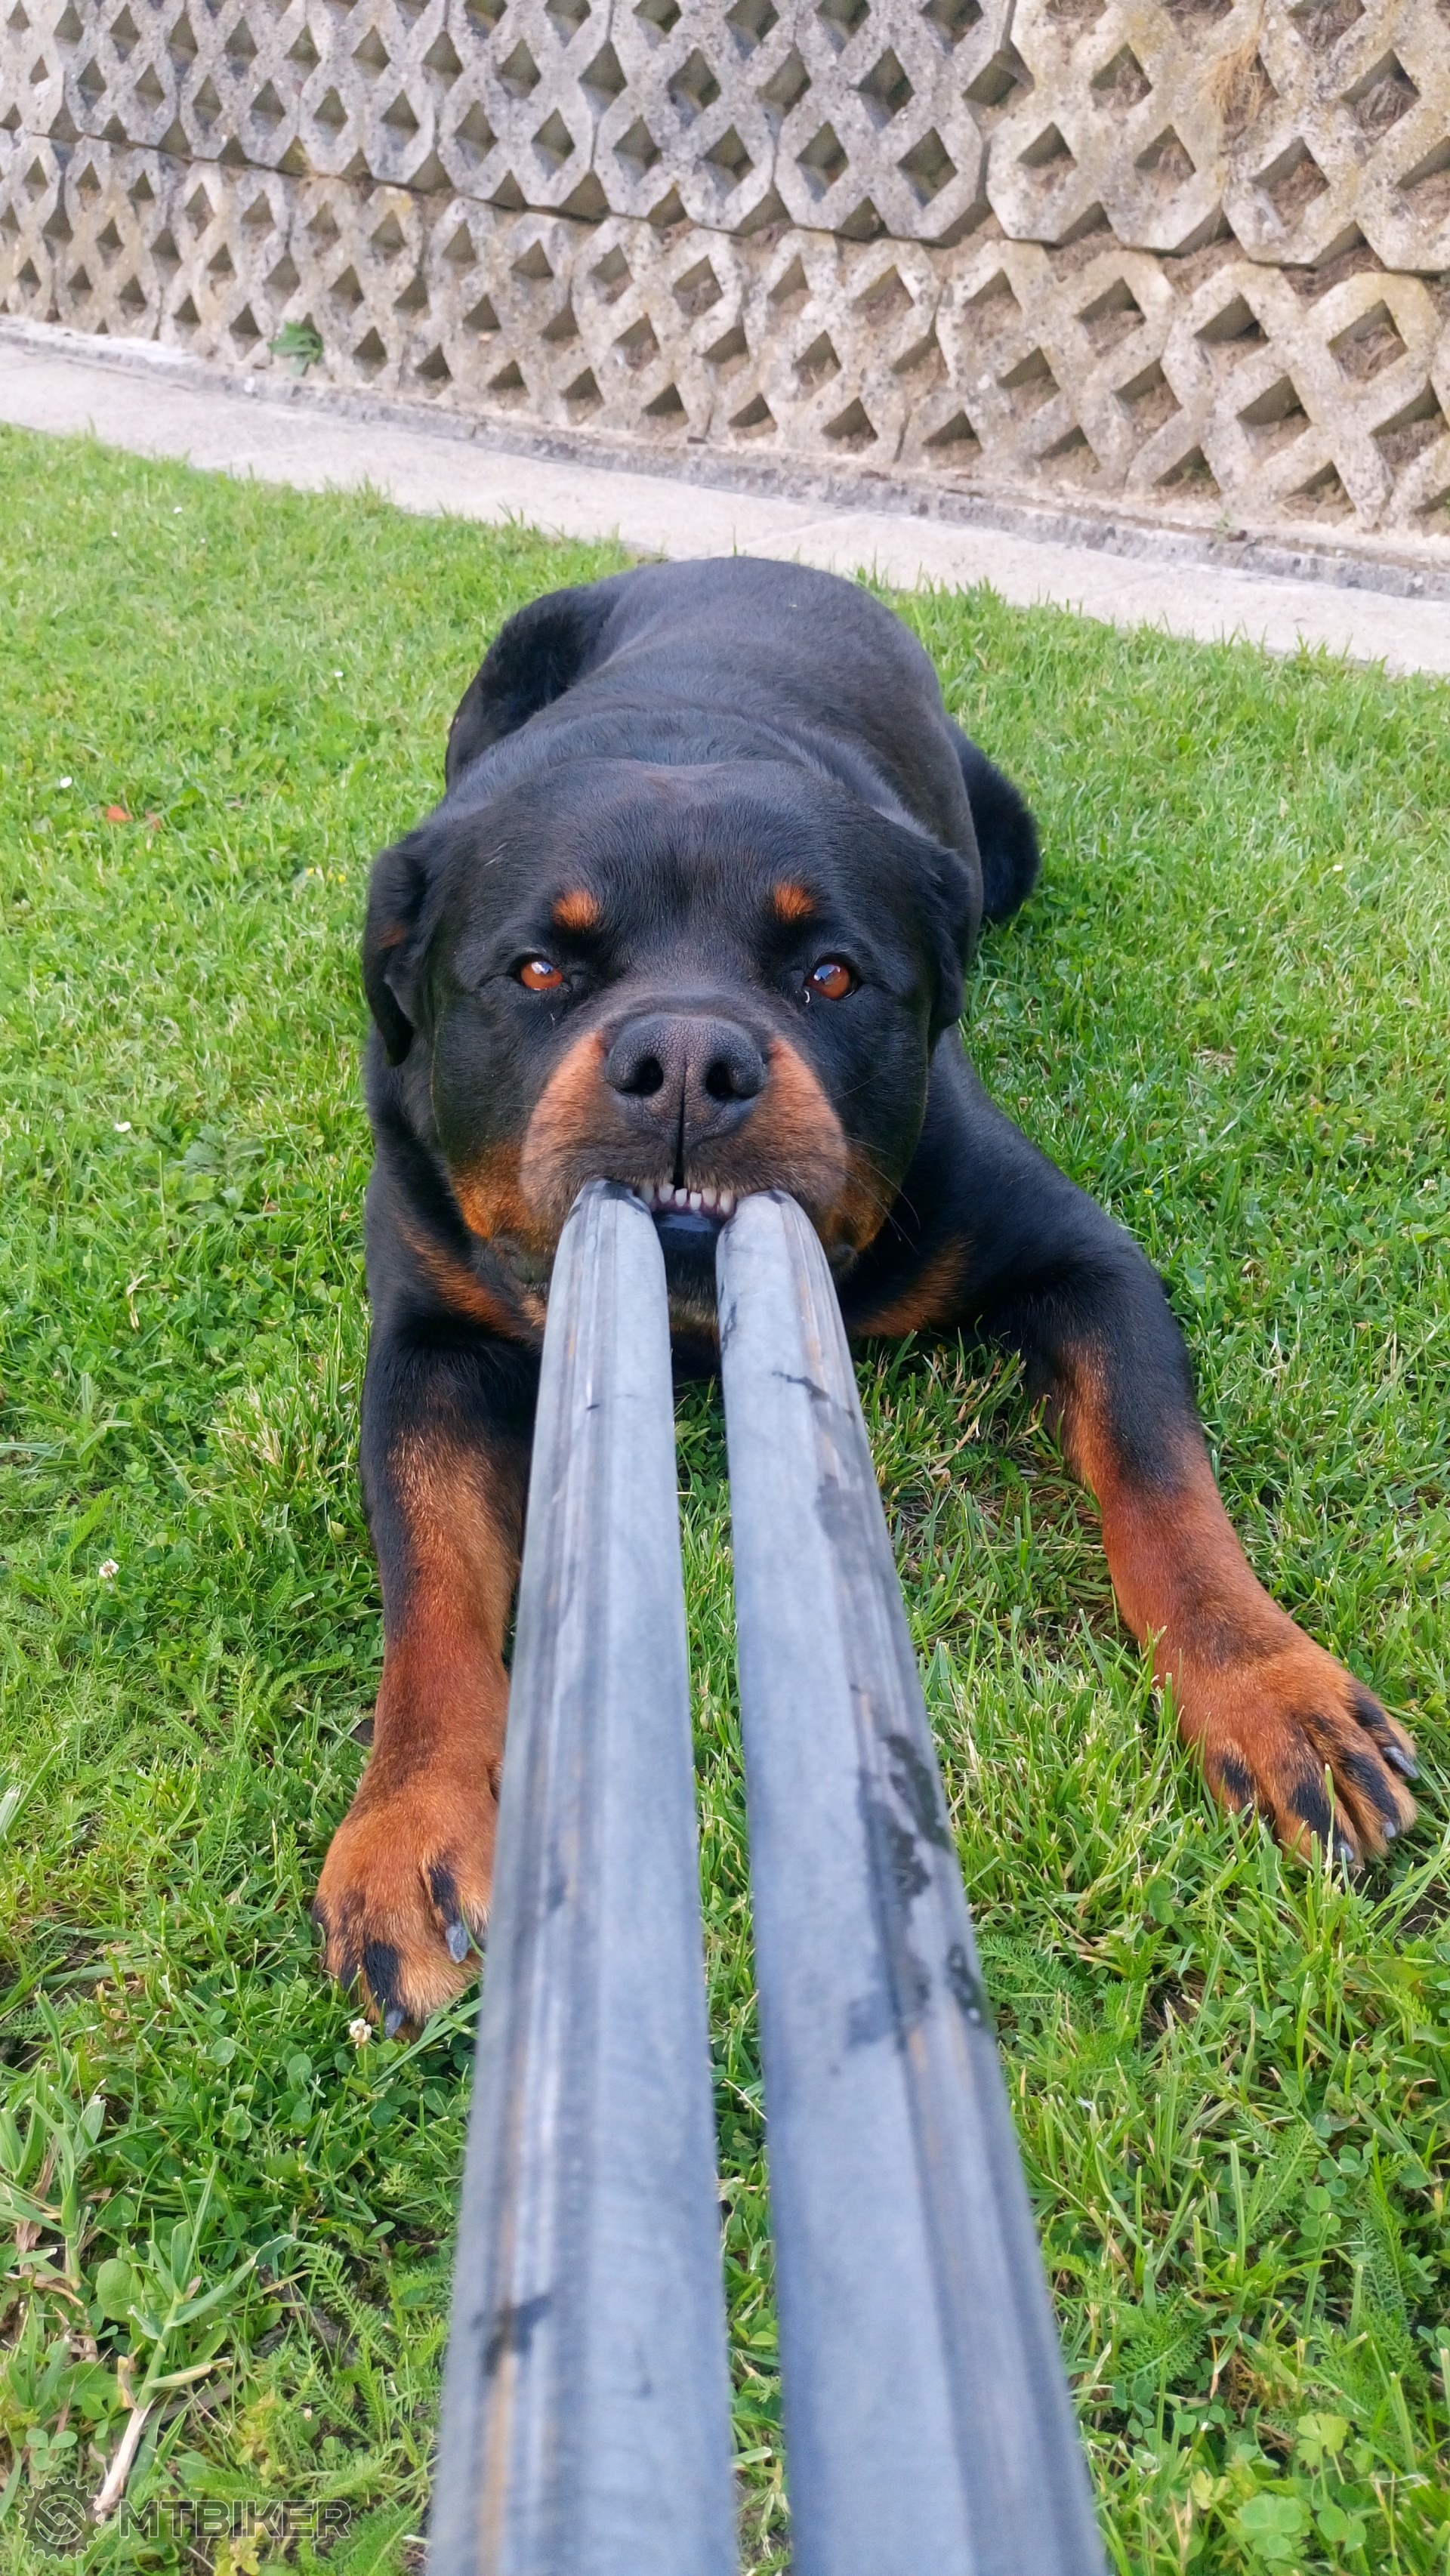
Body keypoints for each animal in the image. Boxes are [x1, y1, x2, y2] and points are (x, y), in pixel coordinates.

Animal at [314, 556, 1416, 2035]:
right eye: (538, 969)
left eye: (828, 972)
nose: (686, 1056)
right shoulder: (428, 1343)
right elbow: (430, 1588)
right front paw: (409, 1831)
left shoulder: (1079, 1255)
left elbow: (1163, 1484)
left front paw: (1276, 1695)